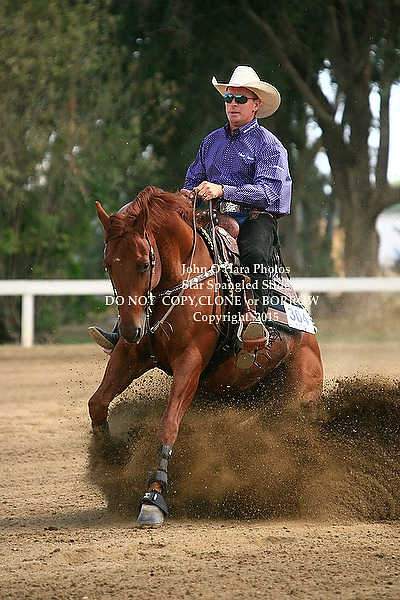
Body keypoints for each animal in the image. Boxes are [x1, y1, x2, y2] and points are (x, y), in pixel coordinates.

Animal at [88, 186, 323, 527]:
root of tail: (309, 339)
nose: (132, 328)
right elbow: (97, 403)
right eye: (108, 264)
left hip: (296, 400)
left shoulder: (191, 360)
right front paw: (111, 456)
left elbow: (168, 424)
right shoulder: (132, 353)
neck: (180, 279)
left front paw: (154, 497)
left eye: (144, 263)